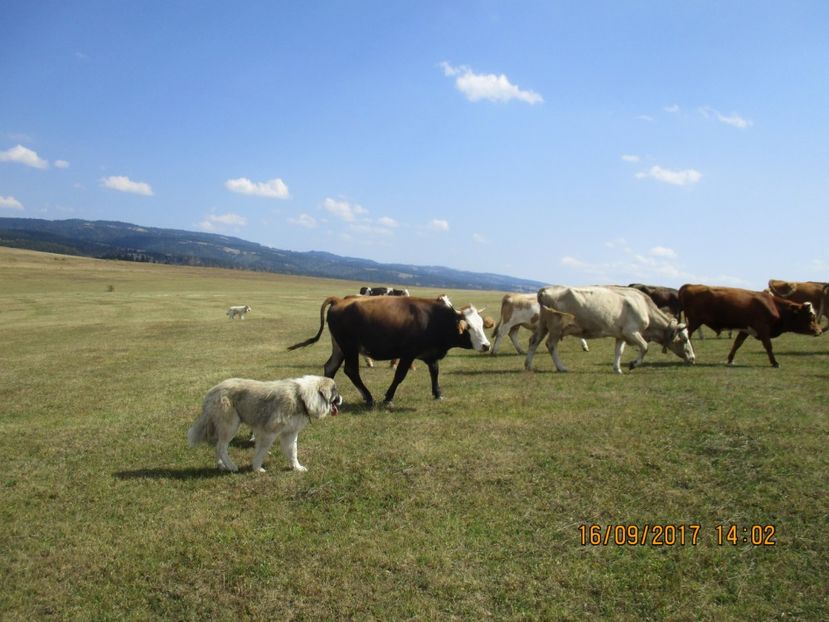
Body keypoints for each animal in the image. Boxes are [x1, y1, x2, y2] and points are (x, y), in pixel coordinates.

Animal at [188, 376, 340, 472]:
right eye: (335, 392)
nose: (341, 399)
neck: (302, 396)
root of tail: (211, 392)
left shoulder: (290, 434)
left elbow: (293, 452)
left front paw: (297, 468)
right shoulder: (268, 432)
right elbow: (262, 451)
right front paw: (257, 468)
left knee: (218, 447)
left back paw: (222, 466)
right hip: (230, 426)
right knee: (221, 447)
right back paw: (231, 466)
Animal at [528, 288, 696, 376]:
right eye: (684, 339)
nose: (693, 358)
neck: (645, 308)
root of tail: (546, 289)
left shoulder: (621, 335)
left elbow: (619, 352)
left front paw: (617, 368)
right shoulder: (631, 332)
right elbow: (644, 347)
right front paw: (633, 364)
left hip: (543, 325)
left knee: (533, 341)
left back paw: (527, 365)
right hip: (555, 328)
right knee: (550, 345)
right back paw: (561, 367)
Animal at [676, 286, 820, 368]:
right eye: (811, 317)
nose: (819, 331)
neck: (774, 305)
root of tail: (689, 286)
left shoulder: (746, 330)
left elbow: (737, 344)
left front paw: (730, 360)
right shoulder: (763, 328)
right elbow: (768, 346)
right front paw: (774, 362)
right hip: (694, 322)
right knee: (685, 336)